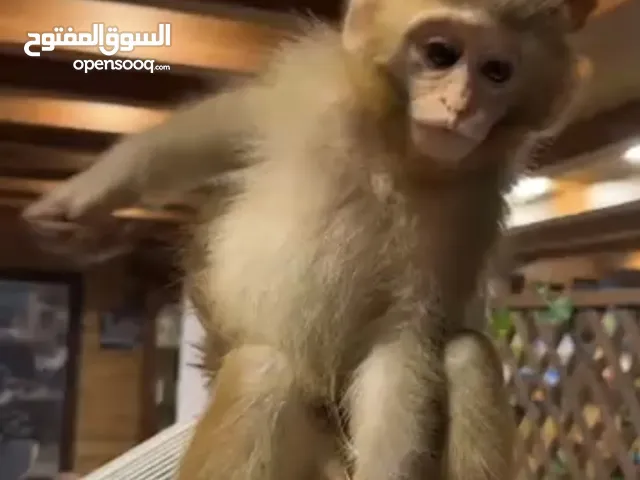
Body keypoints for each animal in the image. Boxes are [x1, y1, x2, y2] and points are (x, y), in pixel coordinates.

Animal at [22, 0, 596, 478]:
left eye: (496, 71)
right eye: (440, 54)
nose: (459, 105)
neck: (396, 151)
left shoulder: (470, 213)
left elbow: (400, 342)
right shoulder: (313, 93)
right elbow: (221, 128)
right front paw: (82, 199)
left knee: (466, 357)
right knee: (260, 372)